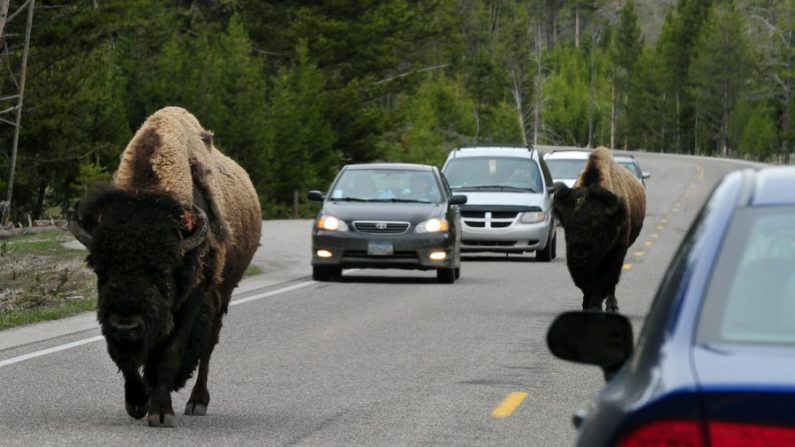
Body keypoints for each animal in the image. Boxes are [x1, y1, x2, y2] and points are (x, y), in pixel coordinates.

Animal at [68, 106, 262, 428]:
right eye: (100, 270)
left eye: (162, 271)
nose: (125, 325)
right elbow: (127, 358)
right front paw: (137, 402)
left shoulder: (193, 299)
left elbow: (171, 352)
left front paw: (161, 413)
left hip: (223, 295)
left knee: (207, 348)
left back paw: (197, 402)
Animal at [552, 149, 648, 314]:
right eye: (567, 227)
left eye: (597, 227)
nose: (580, 255)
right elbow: (585, 283)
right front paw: (587, 304)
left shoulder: (616, 252)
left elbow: (604, 280)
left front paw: (595, 306)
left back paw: (612, 306)